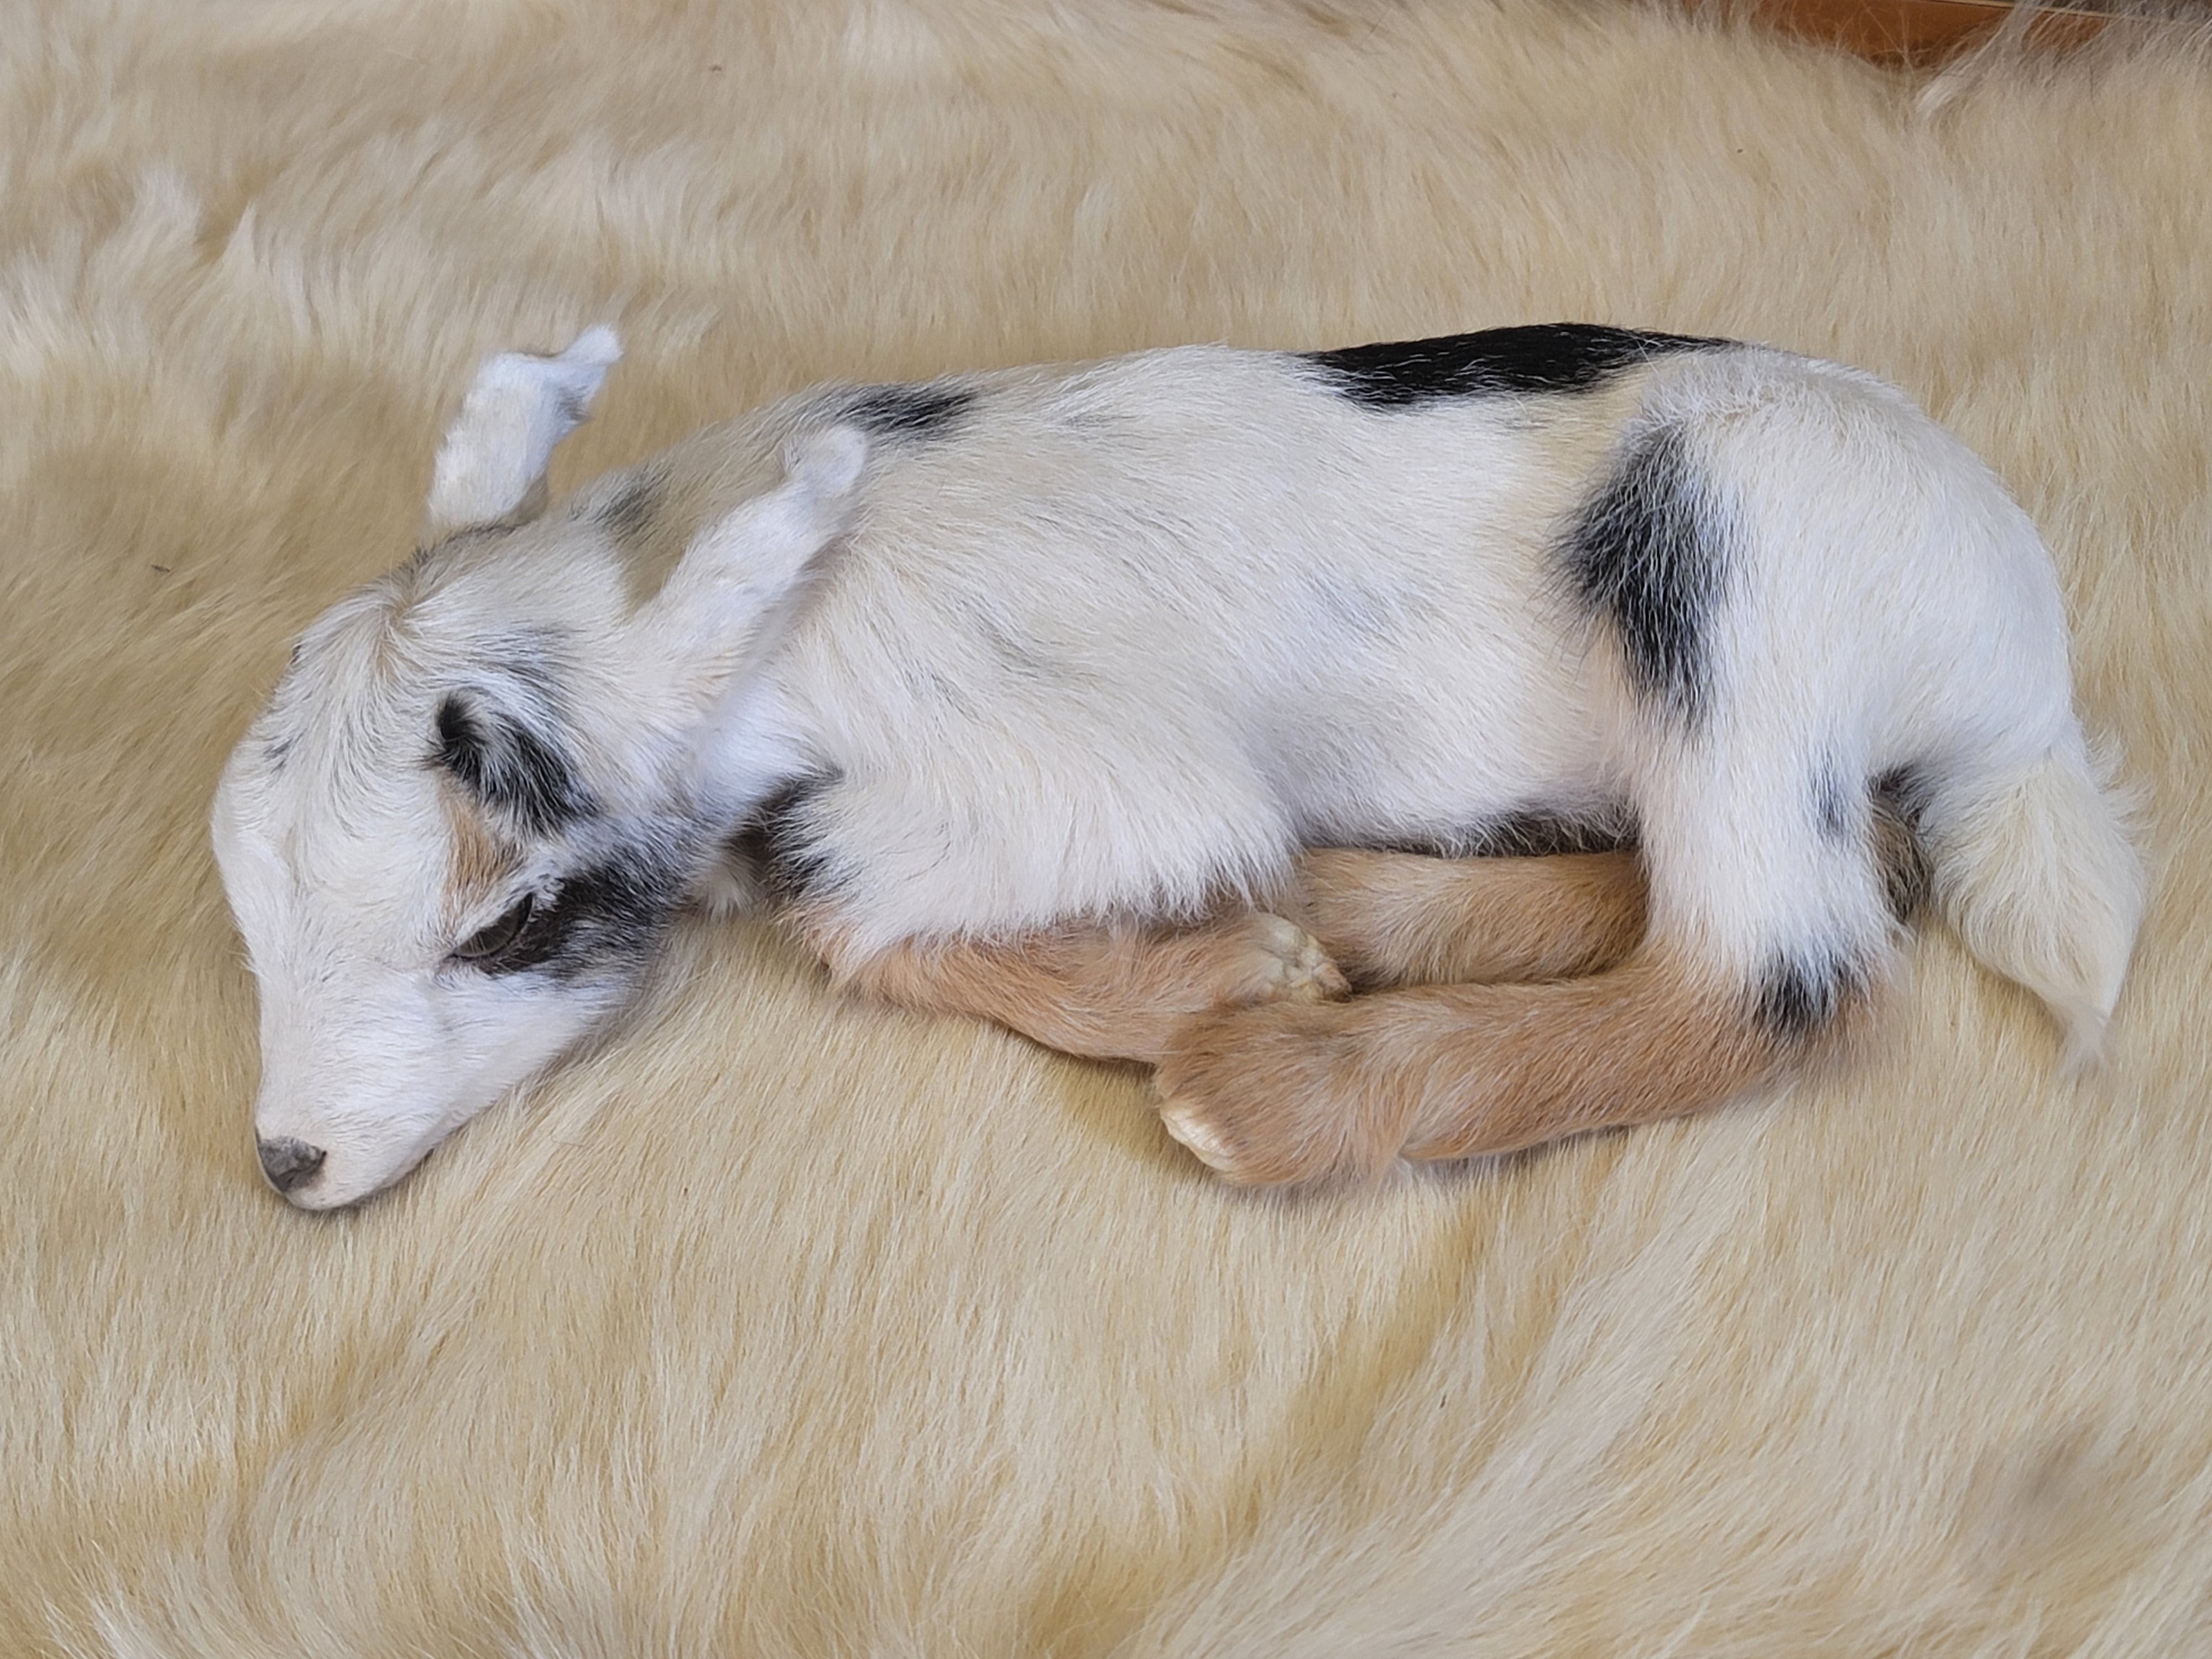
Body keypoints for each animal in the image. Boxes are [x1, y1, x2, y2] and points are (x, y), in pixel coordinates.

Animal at [211, 324, 2141, 1207]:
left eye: (508, 927)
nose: (289, 1163)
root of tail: (2020, 675)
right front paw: (1242, 959)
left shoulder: (1084, 781)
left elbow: (841, 900)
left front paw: (1218, 998)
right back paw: (1329, 926)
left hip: (1733, 572)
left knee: (1780, 969)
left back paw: (1267, 1085)